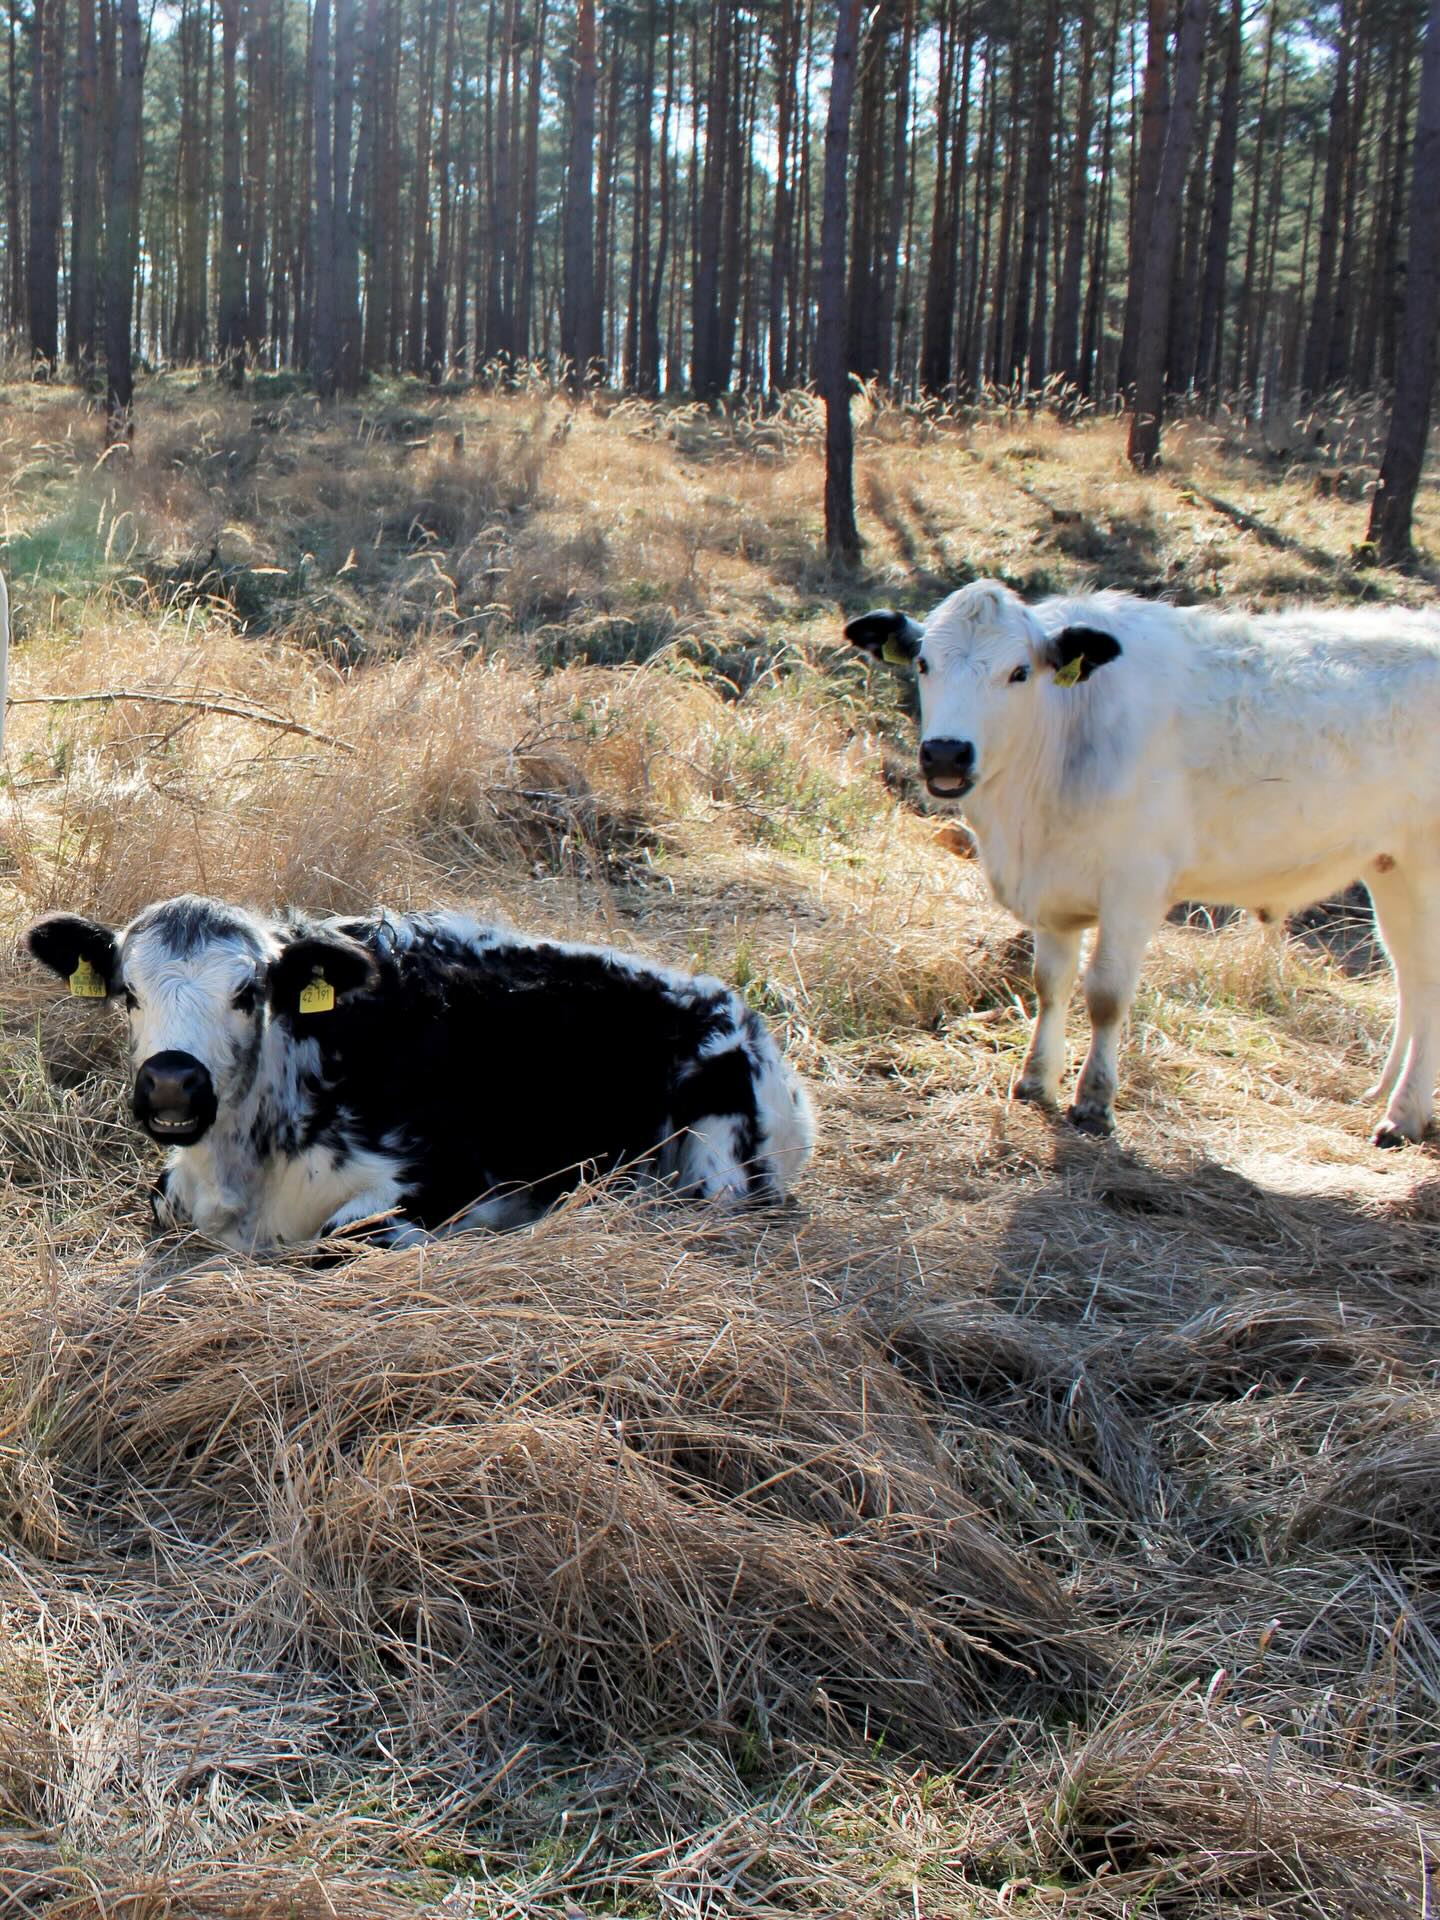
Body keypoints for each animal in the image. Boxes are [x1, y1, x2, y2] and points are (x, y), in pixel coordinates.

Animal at [24, 896, 815, 1249]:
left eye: (248, 992)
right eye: (129, 992)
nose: (171, 1085)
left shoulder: (453, 1176)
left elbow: (344, 1238)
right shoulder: (173, 1189)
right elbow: (157, 1201)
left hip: (721, 1170)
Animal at [847, 579, 1440, 1148]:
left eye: (1018, 672)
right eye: (924, 664)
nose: (946, 753)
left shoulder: (1134, 887)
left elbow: (1106, 995)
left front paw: (1093, 1102)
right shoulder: (1051, 890)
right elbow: (1049, 982)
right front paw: (1036, 1080)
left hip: (1425, 868)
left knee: (1425, 979)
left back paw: (1403, 1116)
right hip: (1390, 867)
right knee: (1409, 979)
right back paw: (1386, 1092)